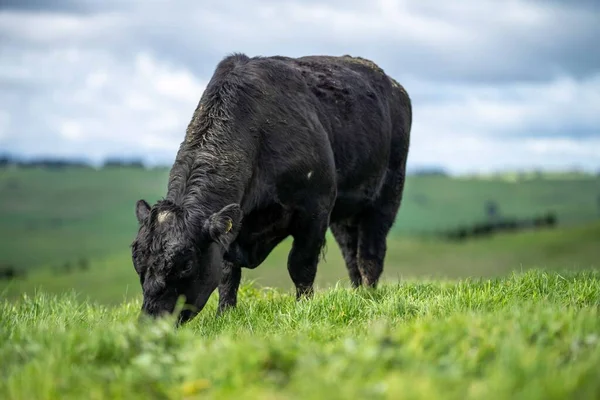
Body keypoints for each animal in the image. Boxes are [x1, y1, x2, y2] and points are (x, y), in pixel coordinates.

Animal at [131, 53, 412, 324]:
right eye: (138, 263)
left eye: (186, 265)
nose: (152, 320)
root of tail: (393, 85)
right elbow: (227, 274)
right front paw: (225, 313)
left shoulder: (315, 208)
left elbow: (300, 264)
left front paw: (304, 308)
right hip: (345, 214)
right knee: (350, 253)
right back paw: (358, 294)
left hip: (386, 197)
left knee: (370, 253)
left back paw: (369, 295)